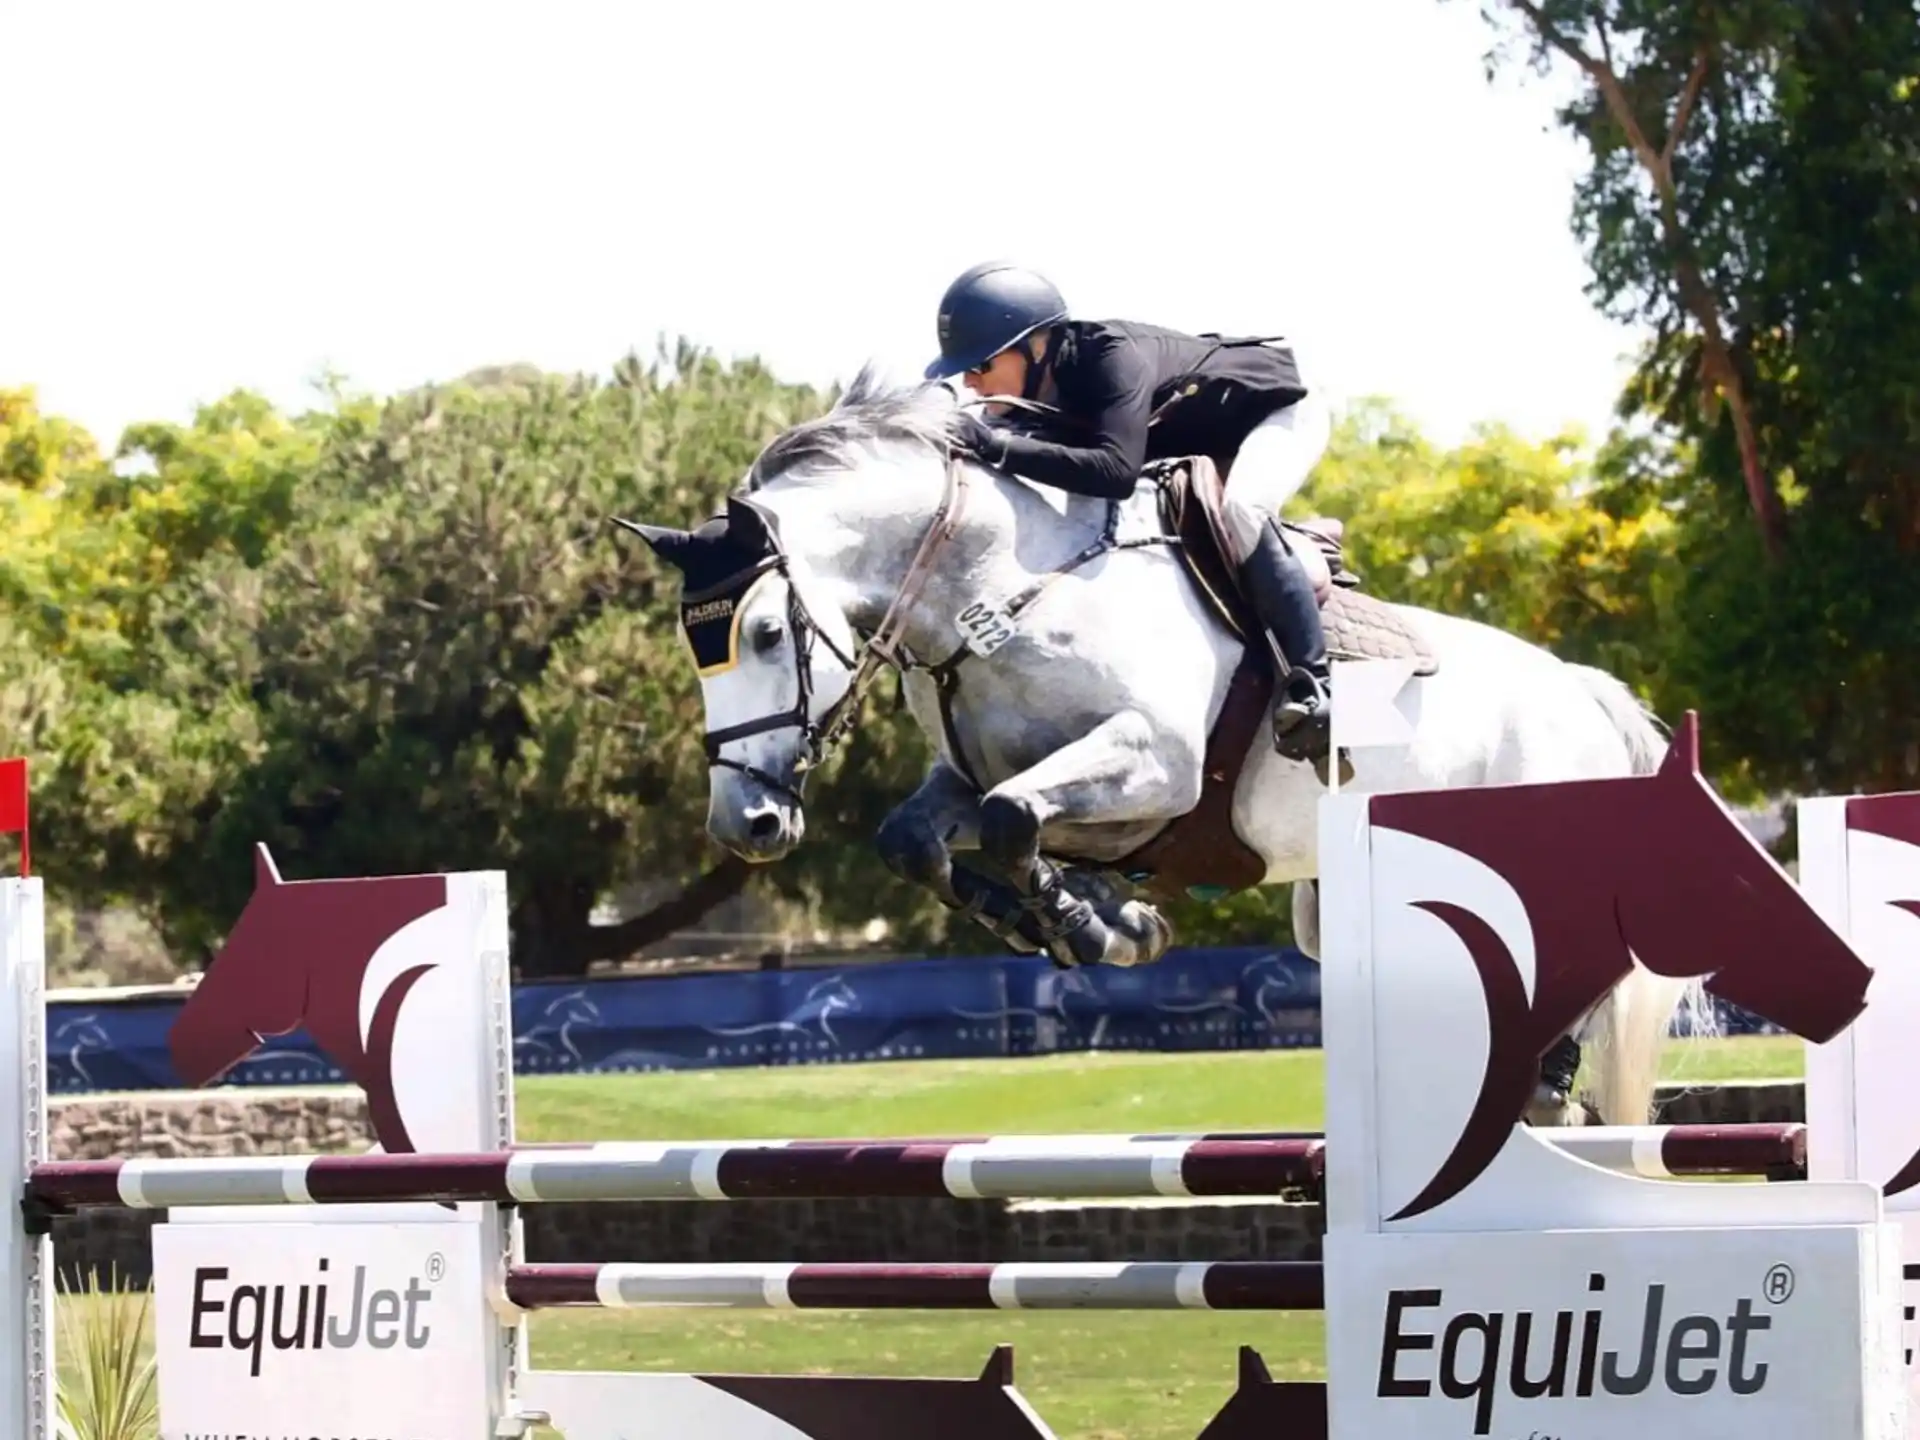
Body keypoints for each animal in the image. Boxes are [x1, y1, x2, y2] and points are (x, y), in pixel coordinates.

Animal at [614, 366, 1695, 1127]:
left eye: (764, 634)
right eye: (693, 650)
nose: (745, 822)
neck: (1000, 584)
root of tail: (1586, 692)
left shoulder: (1157, 765)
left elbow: (1014, 818)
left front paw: (1096, 927)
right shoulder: (988, 776)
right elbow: (925, 837)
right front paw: (1076, 922)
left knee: (1579, 960)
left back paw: (1550, 1081)